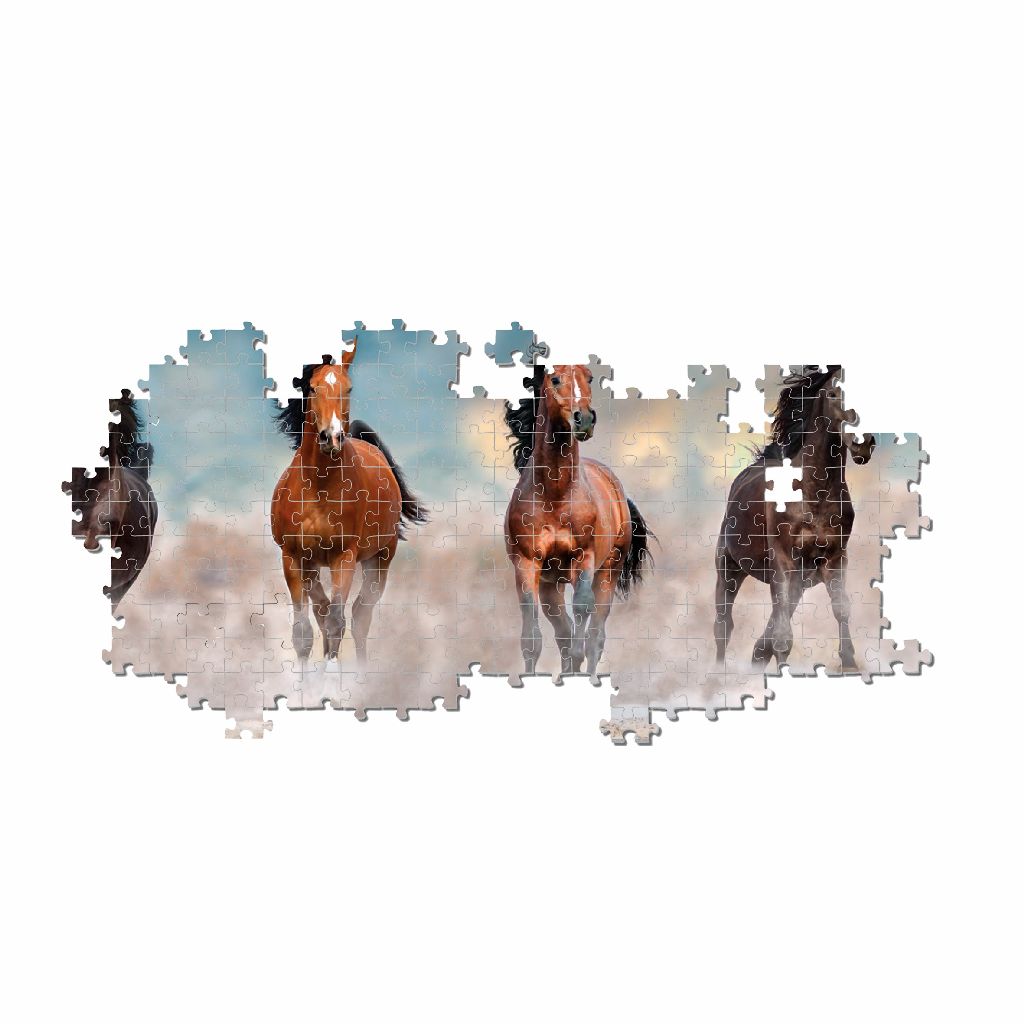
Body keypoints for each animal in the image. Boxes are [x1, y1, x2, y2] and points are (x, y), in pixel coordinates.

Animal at [271, 344, 427, 665]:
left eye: (349, 388)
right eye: (313, 387)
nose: (331, 437)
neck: (318, 488)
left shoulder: (344, 557)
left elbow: (337, 622)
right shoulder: (292, 557)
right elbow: (304, 633)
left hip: (380, 559)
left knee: (358, 617)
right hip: (313, 565)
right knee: (324, 612)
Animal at [503, 364, 653, 680]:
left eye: (590, 378)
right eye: (555, 379)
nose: (583, 419)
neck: (555, 493)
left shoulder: (583, 558)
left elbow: (583, 613)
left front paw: (577, 664)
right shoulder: (527, 564)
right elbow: (532, 635)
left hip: (607, 572)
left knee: (595, 635)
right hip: (551, 584)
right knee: (563, 630)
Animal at [714, 365, 876, 671]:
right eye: (833, 393)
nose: (863, 444)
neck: (813, 494)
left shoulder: (834, 559)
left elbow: (841, 609)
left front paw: (849, 663)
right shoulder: (783, 561)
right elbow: (781, 635)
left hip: (800, 580)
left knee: (765, 634)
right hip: (729, 567)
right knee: (724, 625)